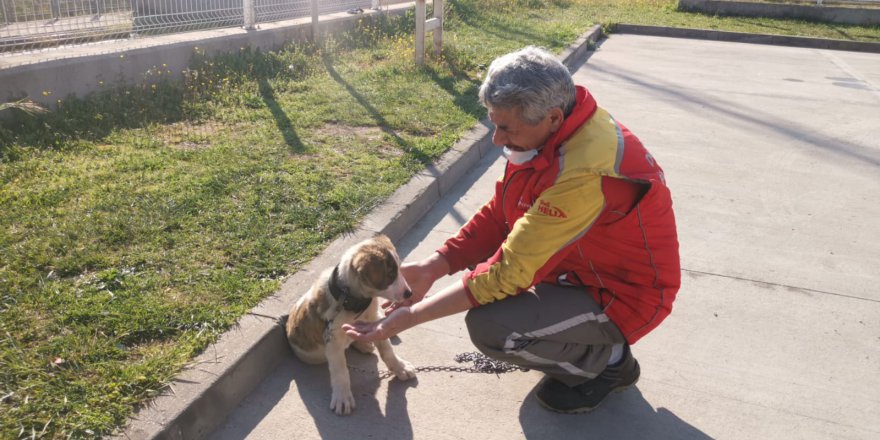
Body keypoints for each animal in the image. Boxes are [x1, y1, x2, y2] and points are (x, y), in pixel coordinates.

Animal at [286, 235, 416, 414]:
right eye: (390, 274)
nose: (409, 293)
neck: (353, 300)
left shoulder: (375, 320)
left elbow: (387, 350)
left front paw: (400, 367)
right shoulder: (333, 340)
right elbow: (341, 371)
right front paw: (342, 397)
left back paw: (364, 344)